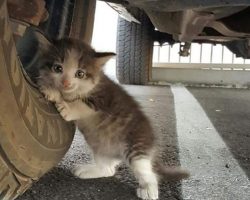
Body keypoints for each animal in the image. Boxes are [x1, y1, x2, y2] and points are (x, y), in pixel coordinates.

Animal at [32, 32, 189, 200]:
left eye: (80, 73)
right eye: (57, 68)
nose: (66, 83)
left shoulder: (104, 98)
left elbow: (81, 104)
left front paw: (65, 104)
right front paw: (49, 88)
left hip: (136, 147)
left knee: (147, 171)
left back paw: (149, 189)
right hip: (100, 148)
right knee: (108, 170)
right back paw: (89, 170)